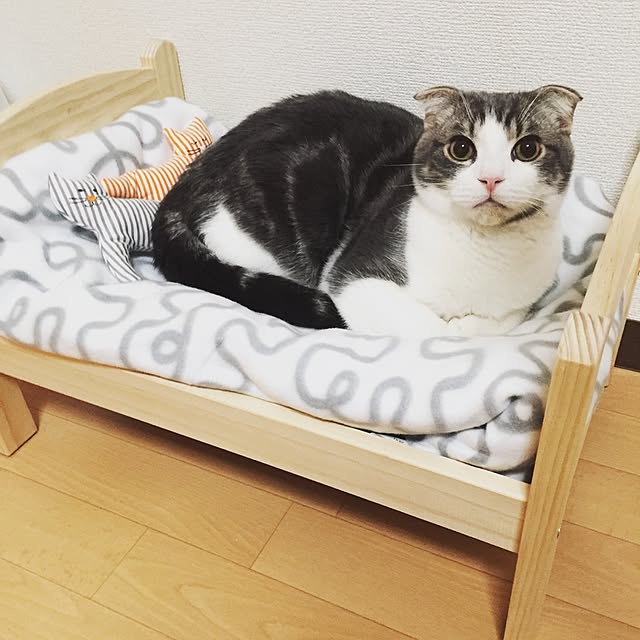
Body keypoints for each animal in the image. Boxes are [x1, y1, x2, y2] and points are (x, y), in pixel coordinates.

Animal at [151, 85, 581, 336]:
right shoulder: (354, 276)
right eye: (462, 149)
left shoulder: (518, 306)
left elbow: (483, 328)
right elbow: (436, 332)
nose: (491, 178)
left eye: (527, 149)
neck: (482, 253)